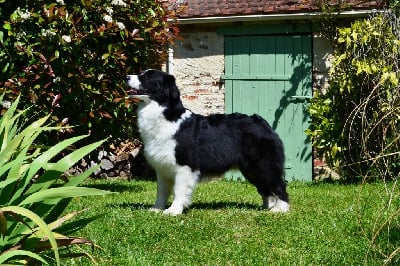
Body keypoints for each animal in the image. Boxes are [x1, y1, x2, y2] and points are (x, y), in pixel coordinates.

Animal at [126, 69, 290, 215]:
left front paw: (174, 211)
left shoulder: (184, 165)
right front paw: (156, 209)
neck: (165, 114)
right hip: (250, 169)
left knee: (279, 185)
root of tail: (261, 122)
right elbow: (161, 191)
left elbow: (179, 190)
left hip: (263, 165)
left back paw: (280, 209)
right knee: (266, 189)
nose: (126, 76)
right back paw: (266, 208)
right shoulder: (162, 167)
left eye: (147, 77)